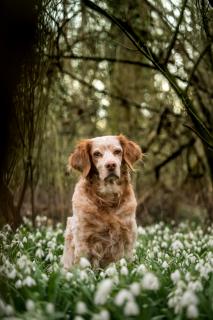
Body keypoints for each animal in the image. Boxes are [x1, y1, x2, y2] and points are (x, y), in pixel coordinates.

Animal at [61, 134, 141, 268]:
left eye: (117, 151)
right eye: (97, 154)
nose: (111, 165)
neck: (107, 198)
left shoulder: (128, 236)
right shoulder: (83, 239)